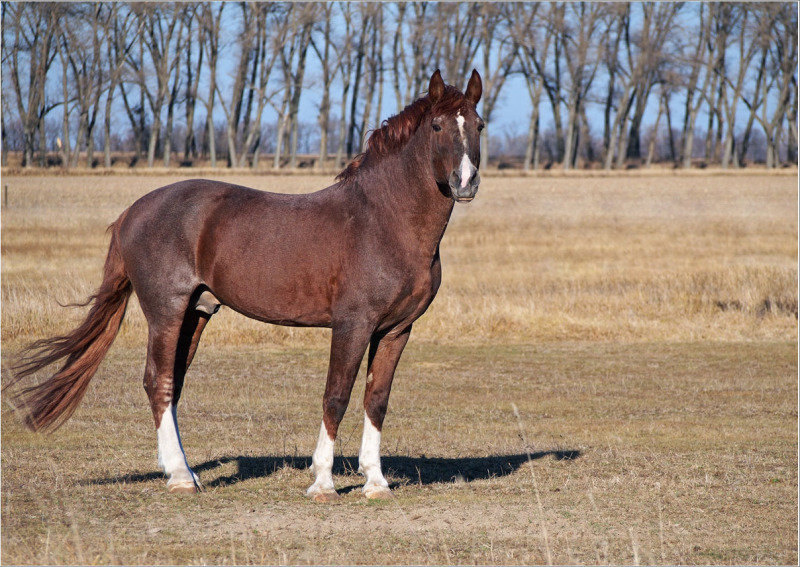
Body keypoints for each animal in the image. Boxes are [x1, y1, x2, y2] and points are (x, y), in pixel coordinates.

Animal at [6, 70, 484, 502]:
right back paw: (180, 478)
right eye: (438, 126)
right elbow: (336, 396)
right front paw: (323, 484)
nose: (465, 181)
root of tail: (133, 212)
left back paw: (185, 472)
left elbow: (377, 400)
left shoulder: (396, 330)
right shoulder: (353, 325)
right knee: (158, 382)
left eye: (478, 125)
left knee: (173, 386)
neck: (382, 220)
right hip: (166, 311)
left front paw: (376, 483)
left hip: (196, 313)